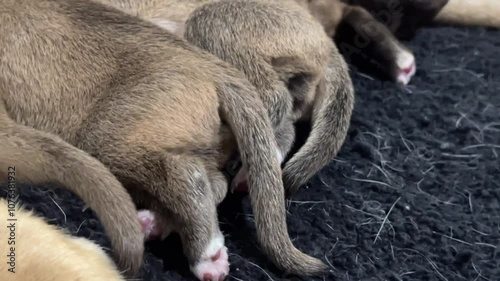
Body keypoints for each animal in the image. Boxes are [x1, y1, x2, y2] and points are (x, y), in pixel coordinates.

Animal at [0, 0, 328, 278]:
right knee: (213, 182)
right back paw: (159, 225)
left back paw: (204, 254)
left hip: (110, 136)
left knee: (185, 176)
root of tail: (217, 69)